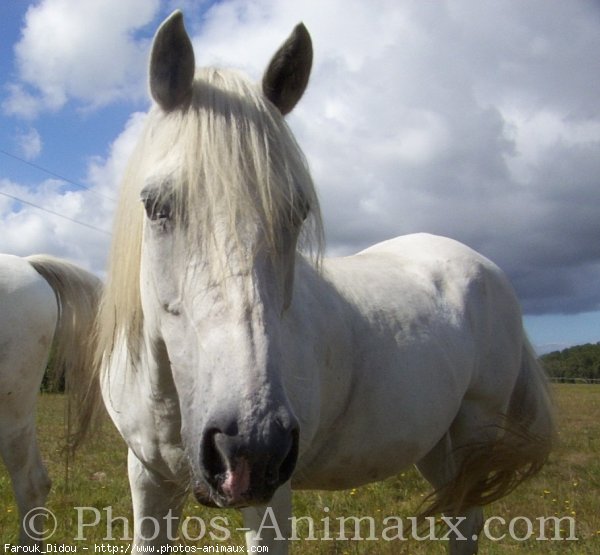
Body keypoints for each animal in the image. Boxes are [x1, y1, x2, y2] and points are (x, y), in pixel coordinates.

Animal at [96, 10, 556, 552]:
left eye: (297, 214)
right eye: (156, 206)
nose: (251, 447)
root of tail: (487, 267)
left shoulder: (271, 498)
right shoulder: (148, 478)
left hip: (475, 431)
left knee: (467, 519)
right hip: (436, 445)